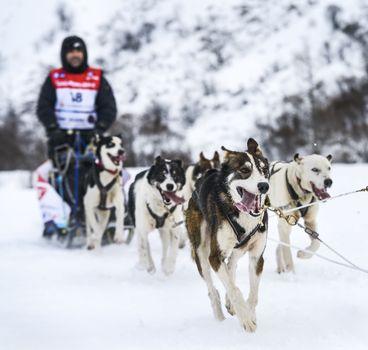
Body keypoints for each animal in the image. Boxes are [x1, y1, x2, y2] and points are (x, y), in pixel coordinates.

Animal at [185, 138, 268, 332]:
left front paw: (249, 314)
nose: (264, 186)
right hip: (201, 253)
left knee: (231, 266)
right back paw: (219, 315)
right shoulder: (214, 257)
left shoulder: (257, 257)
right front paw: (245, 319)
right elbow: (234, 289)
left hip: (237, 250)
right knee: (213, 289)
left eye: (264, 169)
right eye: (245, 170)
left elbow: (253, 294)